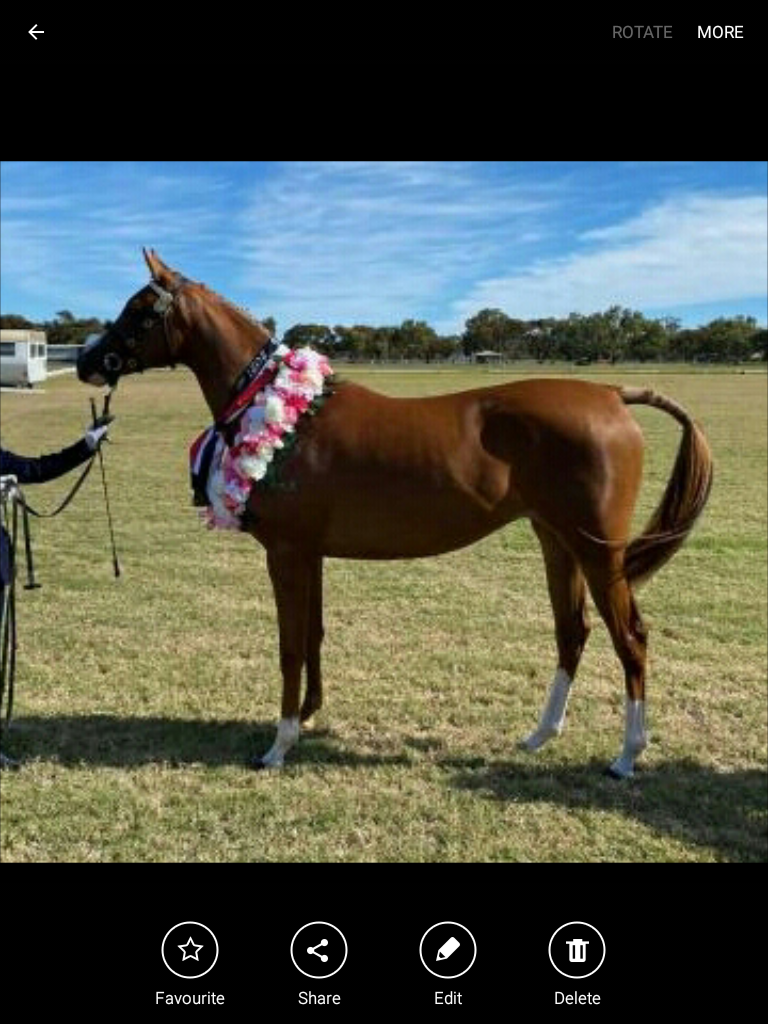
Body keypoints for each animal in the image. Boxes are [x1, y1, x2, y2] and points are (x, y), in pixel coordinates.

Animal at [77, 249, 713, 778]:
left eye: (139, 310)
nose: (85, 360)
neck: (286, 416)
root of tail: (609, 393)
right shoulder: (310, 554)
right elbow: (313, 635)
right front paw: (308, 717)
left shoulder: (286, 553)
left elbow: (289, 645)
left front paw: (278, 745)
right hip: (556, 539)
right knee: (572, 632)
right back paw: (539, 736)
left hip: (598, 549)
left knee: (630, 637)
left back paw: (626, 756)